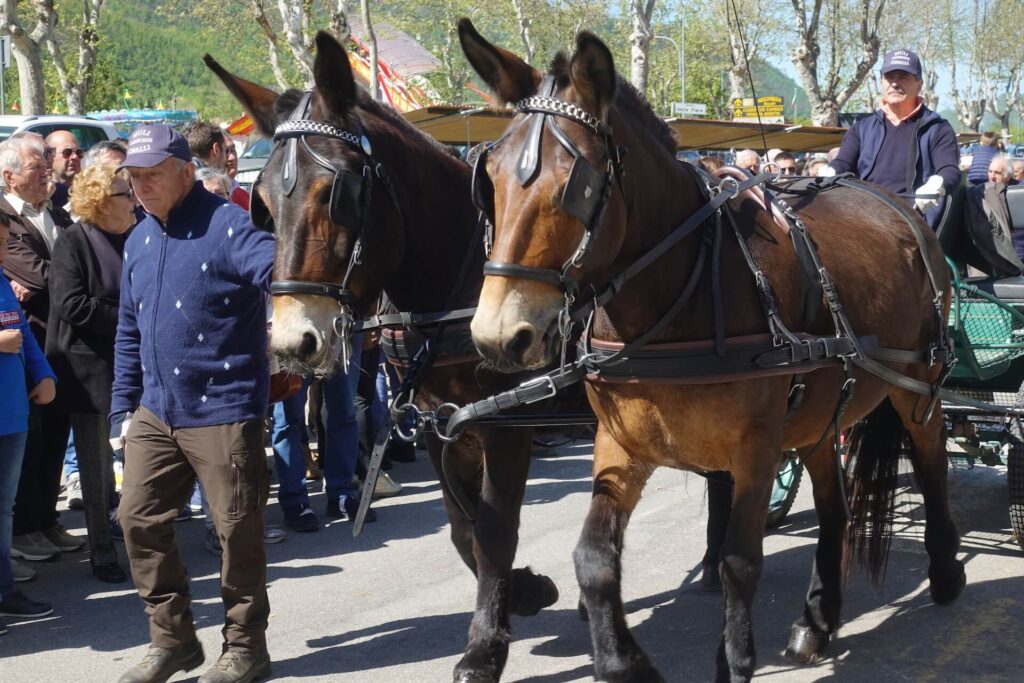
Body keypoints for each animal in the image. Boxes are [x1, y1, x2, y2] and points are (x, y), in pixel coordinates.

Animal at [206, 32, 575, 682]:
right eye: (263, 204)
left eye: (339, 195)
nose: (292, 344)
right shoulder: (437, 421)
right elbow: (464, 529)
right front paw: (522, 593)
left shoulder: (505, 422)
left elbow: (494, 528)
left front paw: (485, 646)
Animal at [457, 21, 965, 682]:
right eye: (486, 178)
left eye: (577, 183)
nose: (499, 335)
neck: (678, 301)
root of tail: (901, 208)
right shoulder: (621, 443)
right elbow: (593, 557)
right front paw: (623, 662)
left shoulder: (755, 448)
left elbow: (738, 560)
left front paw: (734, 659)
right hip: (819, 411)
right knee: (834, 507)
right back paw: (817, 619)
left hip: (917, 383)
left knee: (931, 463)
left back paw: (945, 570)